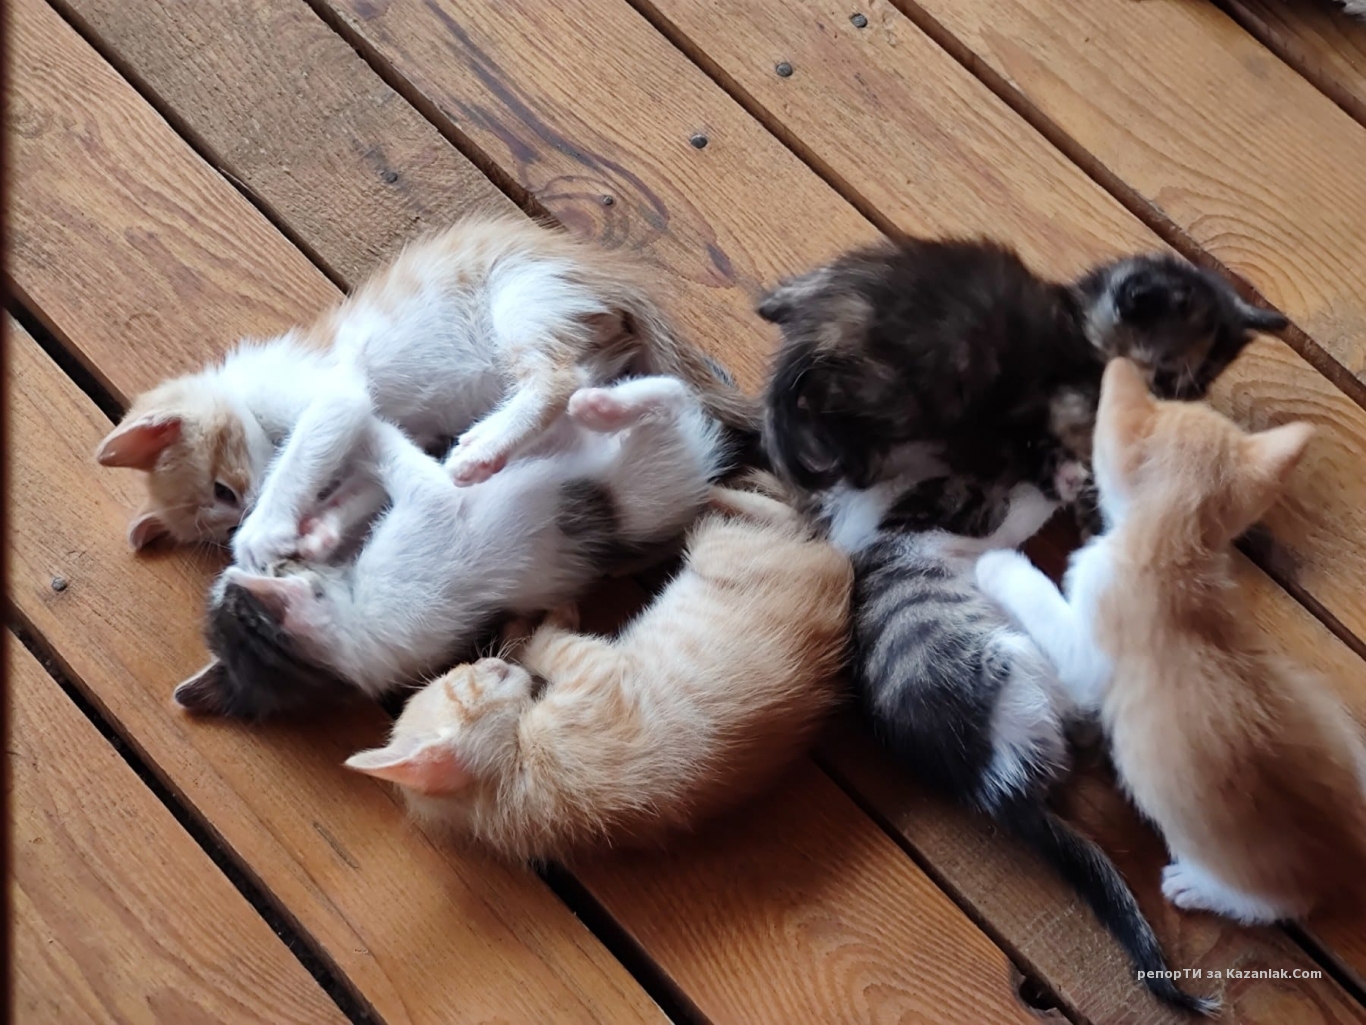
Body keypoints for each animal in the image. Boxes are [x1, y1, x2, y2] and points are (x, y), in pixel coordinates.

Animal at [94, 213, 759, 558]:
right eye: (217, 515)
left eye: (225, 493)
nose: (244, 512)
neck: (247, 398)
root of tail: (613, 276)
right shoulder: (378, 429)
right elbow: (367, 479)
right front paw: (321, 528)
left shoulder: (331, 395)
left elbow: (303, 453)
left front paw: (267, 530)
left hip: (523, 294)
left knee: (557, 376)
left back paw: (483, 446)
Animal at [173, 375, 727, 718]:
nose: (229, 576)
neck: (352, 629)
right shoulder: (430, 506)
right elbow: (389, 445)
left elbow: (372, 472)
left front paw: (318, 529)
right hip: (651, 483)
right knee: (672, 400)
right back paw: (600, 408)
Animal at [343, 476, 852, 863]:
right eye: (462, 682)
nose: (487, 660)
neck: (513, 775)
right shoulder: (597, 671)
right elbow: (549, 645)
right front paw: (549, 618)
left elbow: (530, 645)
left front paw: (515, 628)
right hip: (724, 550)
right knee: (794, 526)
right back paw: (707, 497)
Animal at [760, 240, 1286, 506]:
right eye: (1165, 377)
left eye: (1199, 385)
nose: (1171, 405)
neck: (1082, 323)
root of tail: (822, 324)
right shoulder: (1065, 401)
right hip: (910, 388)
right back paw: (855, 453)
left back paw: (779, 299)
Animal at [977, 357, 1366, 928]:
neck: (1174, 550)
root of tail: (1350, 854)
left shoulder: (1090, 642)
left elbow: (1047, 608)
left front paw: (998, 566)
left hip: (1242, 876)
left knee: (1270, 905)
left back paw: (1196, 888)